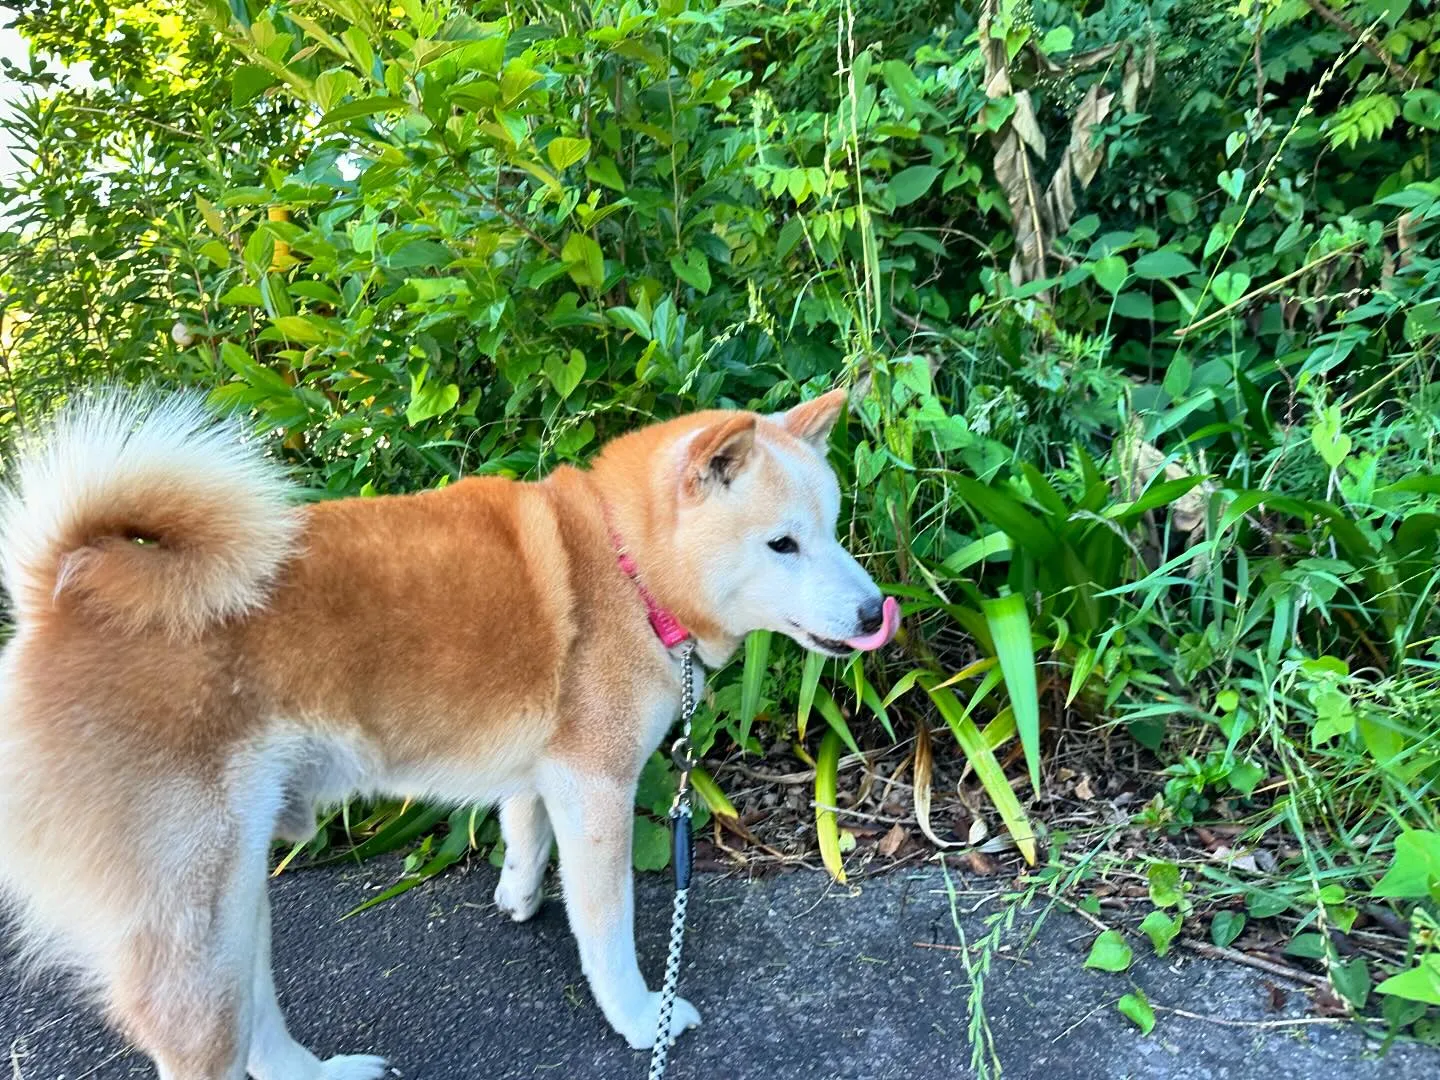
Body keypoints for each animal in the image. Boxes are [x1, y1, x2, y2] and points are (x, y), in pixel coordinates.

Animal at [0, 391, 898, 1080]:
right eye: (783, 543)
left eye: (834, 528)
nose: (871, 614)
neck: (625, 567)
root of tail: (57, 602)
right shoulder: (596, 783)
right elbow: (606, 930)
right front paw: (643, 1017)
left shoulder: (546, 771)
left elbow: (523, 832)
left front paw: (518, 895)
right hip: (191, 927)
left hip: (233, 895)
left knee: (258, 1034)